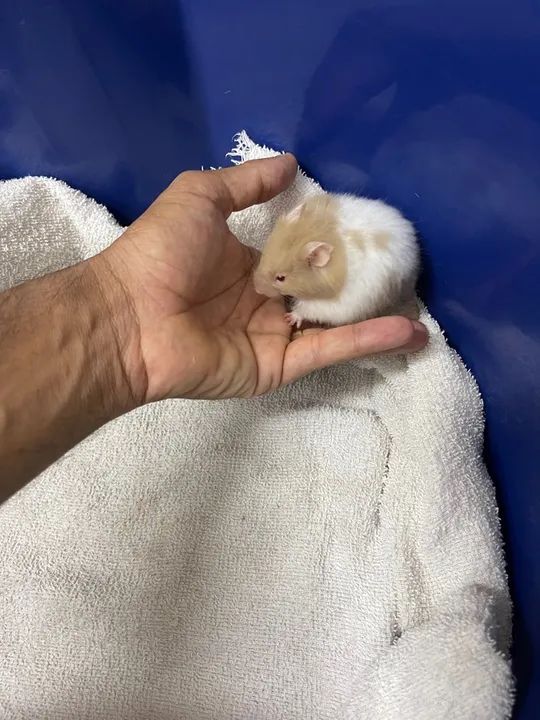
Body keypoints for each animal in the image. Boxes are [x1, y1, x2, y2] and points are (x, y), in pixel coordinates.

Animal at [253, 193, 420, 328]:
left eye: (281, 278)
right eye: (264, 255)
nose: (256, 289)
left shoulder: (332, 306)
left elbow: (306, 310)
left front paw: (289, 318)